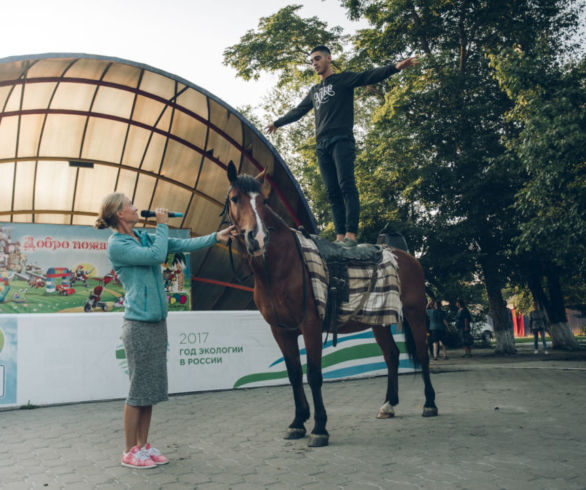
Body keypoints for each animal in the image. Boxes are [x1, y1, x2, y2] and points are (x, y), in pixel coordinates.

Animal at [226, 163, 436, 446]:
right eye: (235, 198)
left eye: (263, 201)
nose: (257, 238)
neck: (283, 264)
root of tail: (407, 257)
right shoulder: (281, 330)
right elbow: (294, 374)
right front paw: (297, 422)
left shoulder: (311, 325)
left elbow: (314, 375)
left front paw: (319, 428)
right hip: (379, 321)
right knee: (392, 355)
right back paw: (388, 405)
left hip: (415, 315)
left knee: (423, 355)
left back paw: (429, 404)